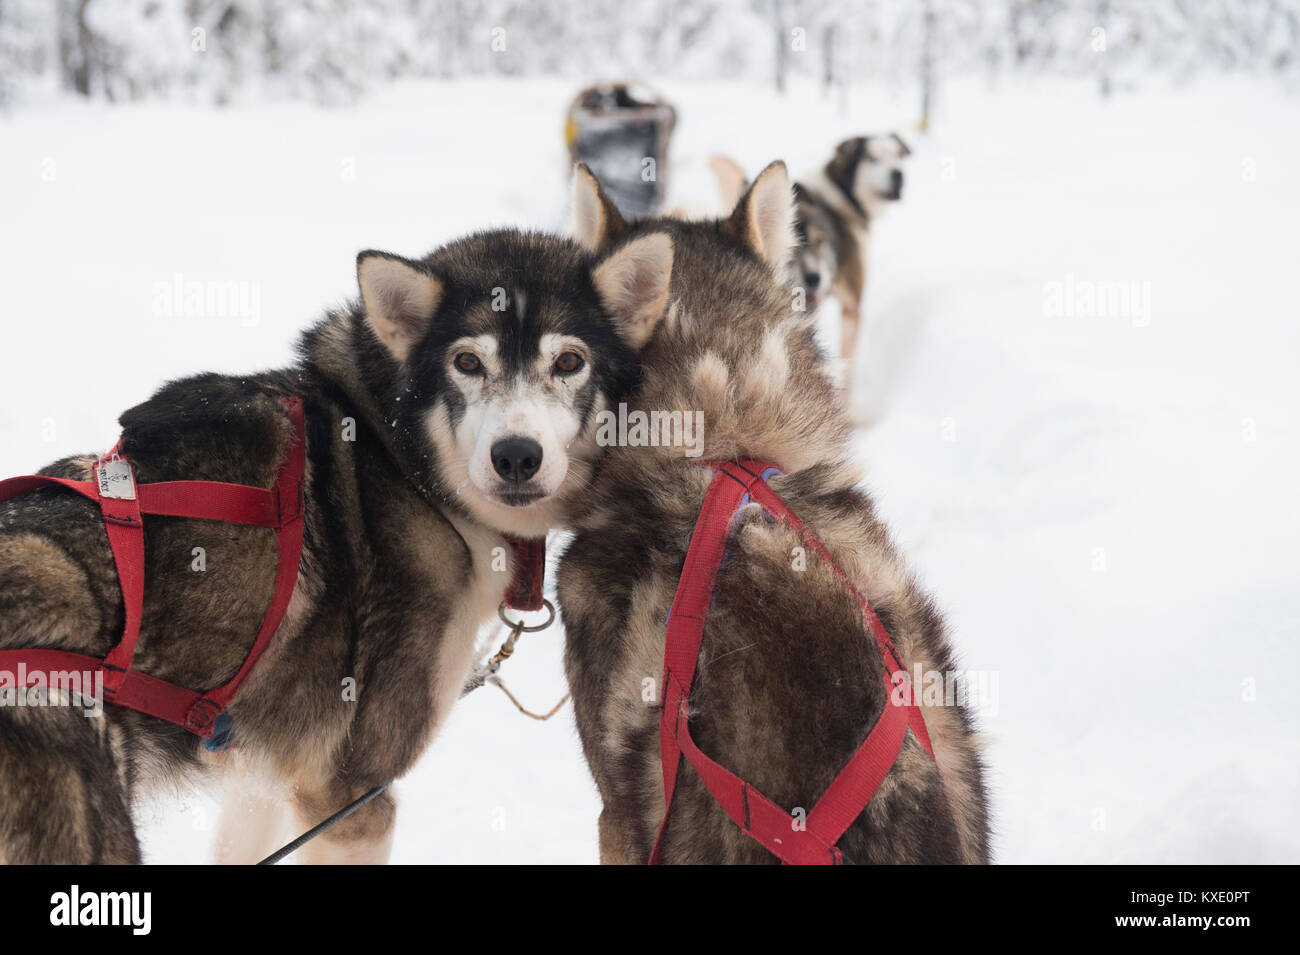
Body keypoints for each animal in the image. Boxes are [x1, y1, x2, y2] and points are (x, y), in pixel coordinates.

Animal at [0, 227, 670, 862]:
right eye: (467, 362)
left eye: (569, 361)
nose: (516, 456)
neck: (401, 461)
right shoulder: (350, 799)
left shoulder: (261, 781)